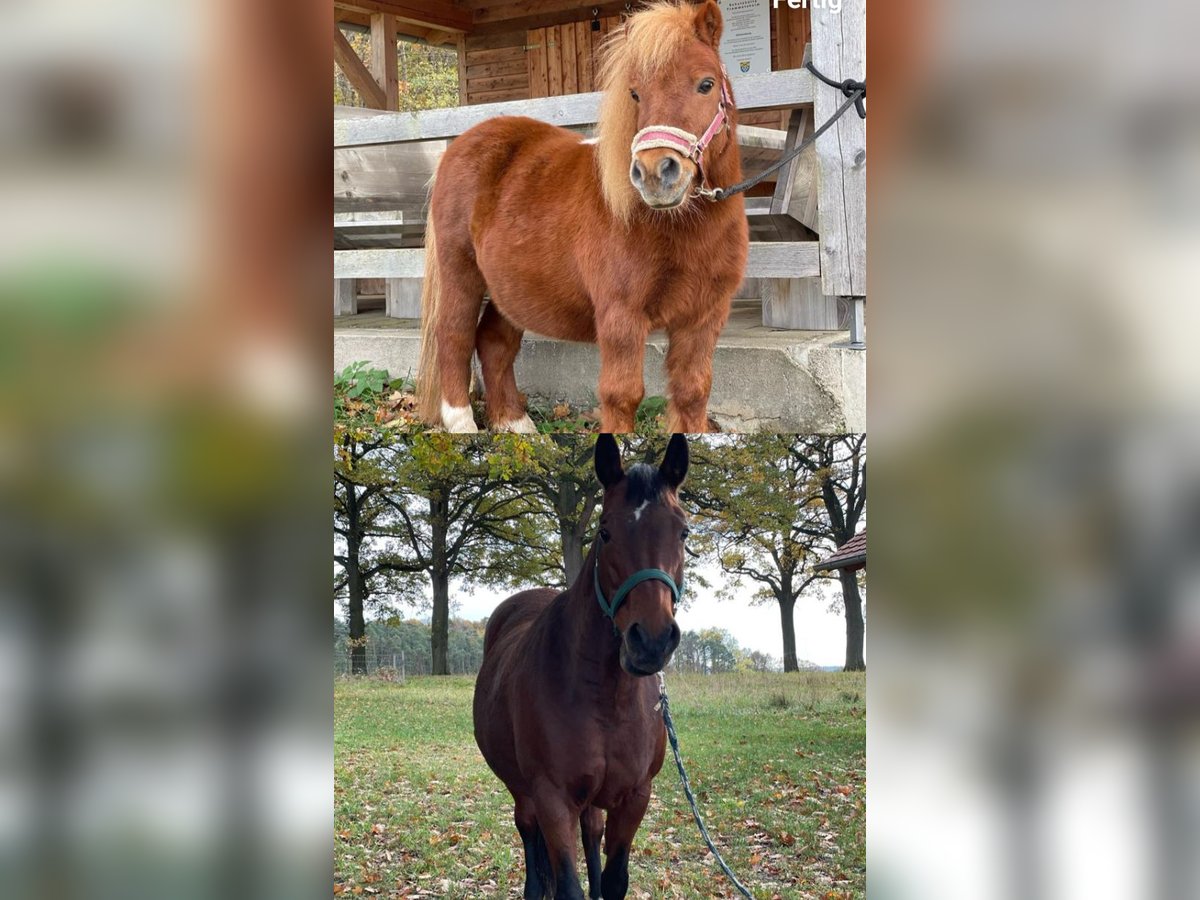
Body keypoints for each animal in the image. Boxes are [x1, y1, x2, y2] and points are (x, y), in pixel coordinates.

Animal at [417, 0, 744, 436]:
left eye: (706, 84)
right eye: (635, 93)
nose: (656, 173)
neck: (683, 229)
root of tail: (459, 147)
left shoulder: (704, 317)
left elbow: (693, 392)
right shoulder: (621, 315)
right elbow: (622, 395)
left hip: (513, 288)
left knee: (494, 342)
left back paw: (516, 424)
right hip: (460, 272)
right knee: (453, 336)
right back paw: (462, 426)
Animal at [472, 434, 691, 897]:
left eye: (683, 531)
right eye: (605, 531)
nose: (651, 641)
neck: (605, 697)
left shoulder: (635, 798)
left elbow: (613, 879)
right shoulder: (553, 800)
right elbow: (567, 884)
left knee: (590, 832)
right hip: (523, 794)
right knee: (529, 838)